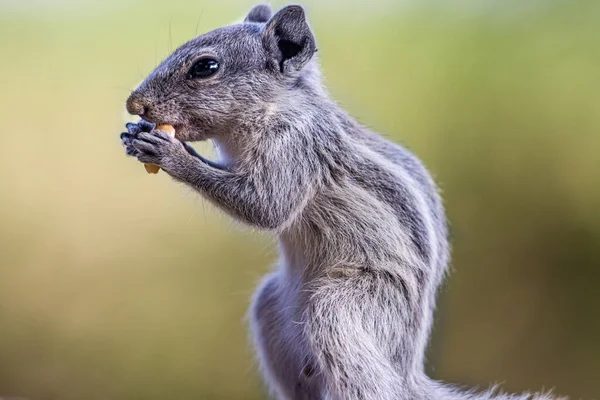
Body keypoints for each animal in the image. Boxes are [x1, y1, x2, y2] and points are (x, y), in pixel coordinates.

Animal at [120, 3, 564, 400]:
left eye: (205, 67)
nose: (134, 104)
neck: (275, 109)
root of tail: (406, 370)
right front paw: (132, 134)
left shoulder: (297, 146)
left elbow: (266, 207)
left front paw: (170, 153)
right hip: (271, 313)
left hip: (347, 309)